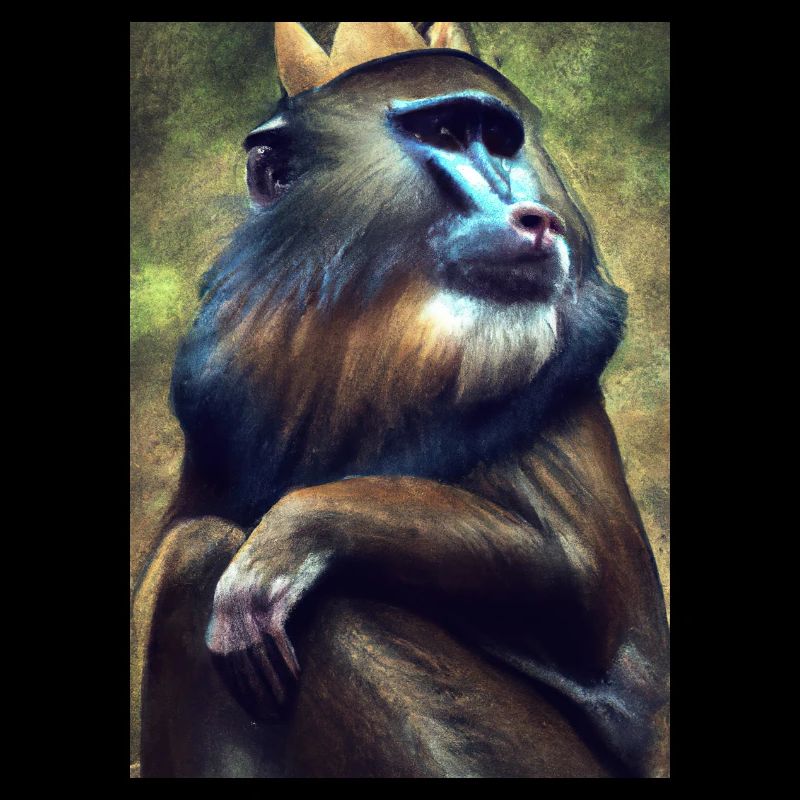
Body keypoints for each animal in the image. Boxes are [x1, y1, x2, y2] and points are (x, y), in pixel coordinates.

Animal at [132, 22, 669, 779]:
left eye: (496, 138)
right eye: (444, 132)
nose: (534, 217)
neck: (362, 326)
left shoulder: (558, 373)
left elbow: (581, 586)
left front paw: (292, 535)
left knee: (225, 567)